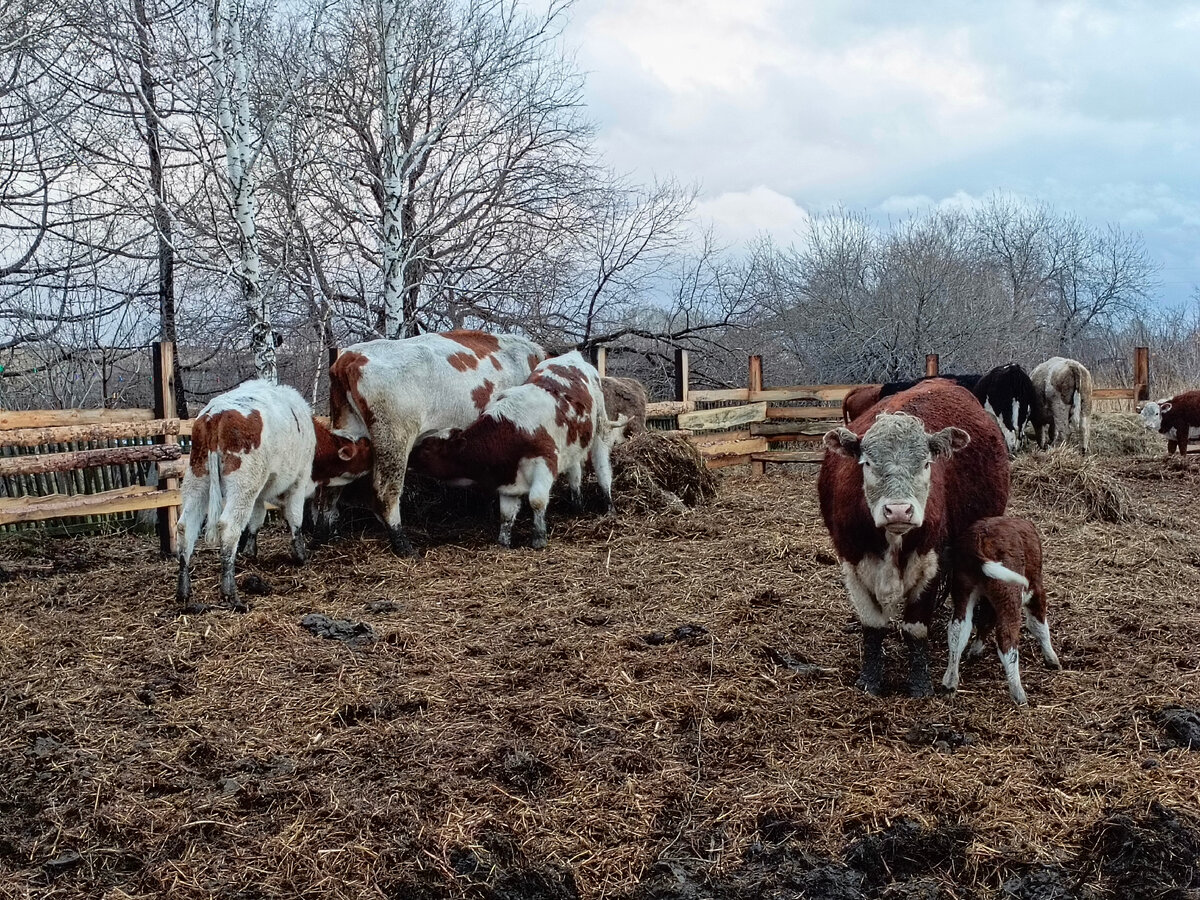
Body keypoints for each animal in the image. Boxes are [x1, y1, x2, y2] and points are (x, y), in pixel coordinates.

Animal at [176, 381, 369, 614]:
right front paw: (300, 554)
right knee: (229, 528)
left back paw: (183, 590)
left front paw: (250, 551)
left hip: (197, 480)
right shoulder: (298, 481)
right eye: (366, 449)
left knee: (185, 527)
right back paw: (230, 593)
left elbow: (256, 521)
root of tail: (216, 413)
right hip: (242, 487)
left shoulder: (258, 495)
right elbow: (295, 518)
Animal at [319, 331, 544, 556]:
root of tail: (350, 356)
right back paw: (405, 547)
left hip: (348, 434)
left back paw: (327, 537)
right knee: (385, 493)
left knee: (331, 490)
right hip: (394, 438)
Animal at [408, 352, 624, 549]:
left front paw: (539, 539)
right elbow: (506, 514)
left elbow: (537, 501)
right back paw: (577, 506)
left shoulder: (545, 463)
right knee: (574, 473)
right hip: (572, 445)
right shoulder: (508, 481)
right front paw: (503, 542)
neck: (511, 431)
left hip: (600, 428)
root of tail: (572, 355)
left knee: (602, 468)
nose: (408, 459)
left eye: (427, 448)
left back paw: (609, 506)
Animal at [816, 381, 1012, 696]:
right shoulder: (853, 562)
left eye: (925, 464)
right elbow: (873, 626)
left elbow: (915, 627)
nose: (898, 510)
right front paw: (869, 679)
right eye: (867, 463)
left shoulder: (930, 562)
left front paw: (920, 683)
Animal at [940, 513, 1065, 705]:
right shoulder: (1036, 588)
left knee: (958, 629)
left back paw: (950, 682)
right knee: (1007, 638)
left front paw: (976, 649)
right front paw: (1052, 659)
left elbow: (984, 621)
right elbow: (1038, 625)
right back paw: (1018, 693)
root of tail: (979, 538)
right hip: (1009, 592)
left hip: (963, 587)